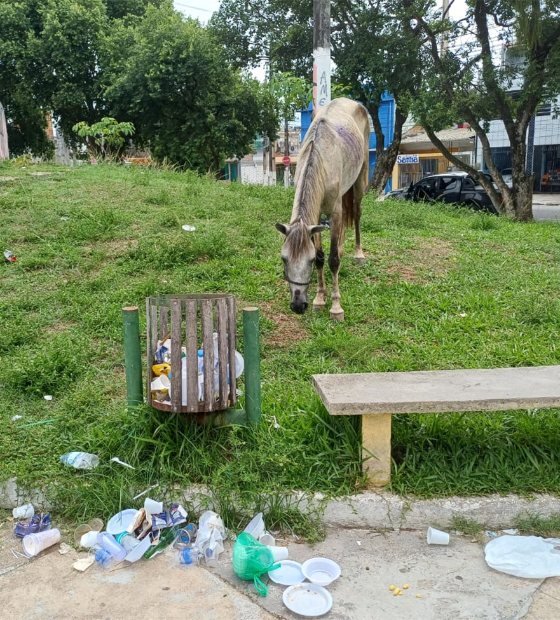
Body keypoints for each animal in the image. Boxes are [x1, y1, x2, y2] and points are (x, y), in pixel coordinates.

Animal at [276, 97, 372, 322]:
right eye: (284, 259)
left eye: (308, 260)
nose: (298, 305)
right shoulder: (316, 218)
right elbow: (322, 257)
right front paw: (319, 299)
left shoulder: (333, 213)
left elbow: (332, 260)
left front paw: (336, 307)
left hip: (360, 179)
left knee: (356, 213)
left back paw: (358, 254)